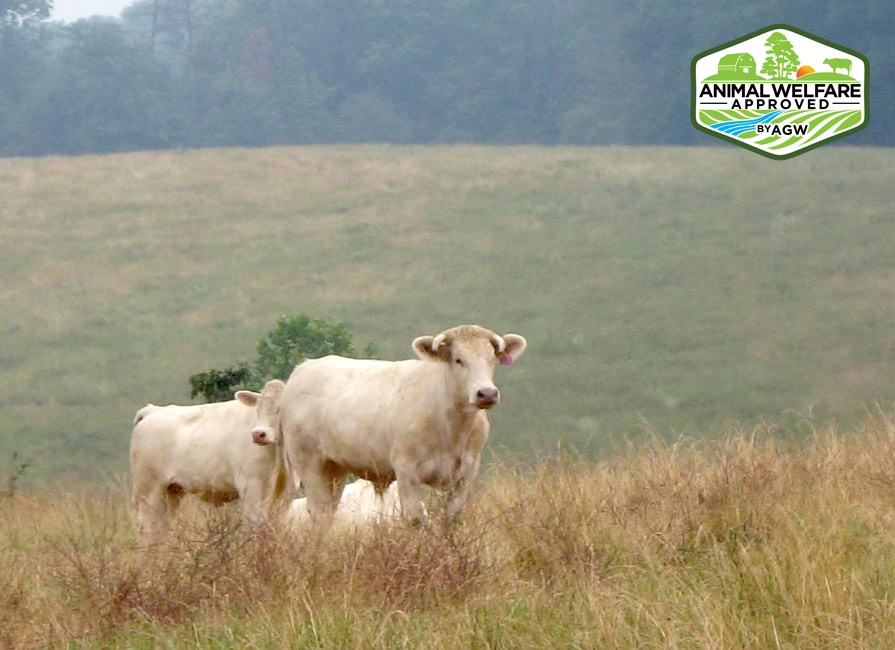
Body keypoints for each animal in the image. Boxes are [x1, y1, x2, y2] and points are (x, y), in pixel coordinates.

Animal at [130, 378, 288, 540]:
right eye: (258, 408)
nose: (258, 434)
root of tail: (154, 410)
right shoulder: (251, 485)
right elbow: (257, 526)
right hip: (149, 489)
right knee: (148, 526)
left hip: (171, 491)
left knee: (162, 526)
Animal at [272, 322, 524, 524]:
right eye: (458, 359)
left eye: (492, 359)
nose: (486, 393)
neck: (452, 428)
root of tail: (304, 367)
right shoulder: (408, 472)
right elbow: (416, 519)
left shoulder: (466, 474)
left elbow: (452, 519)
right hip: (311, 463)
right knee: (319, 512)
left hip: (335, 468)